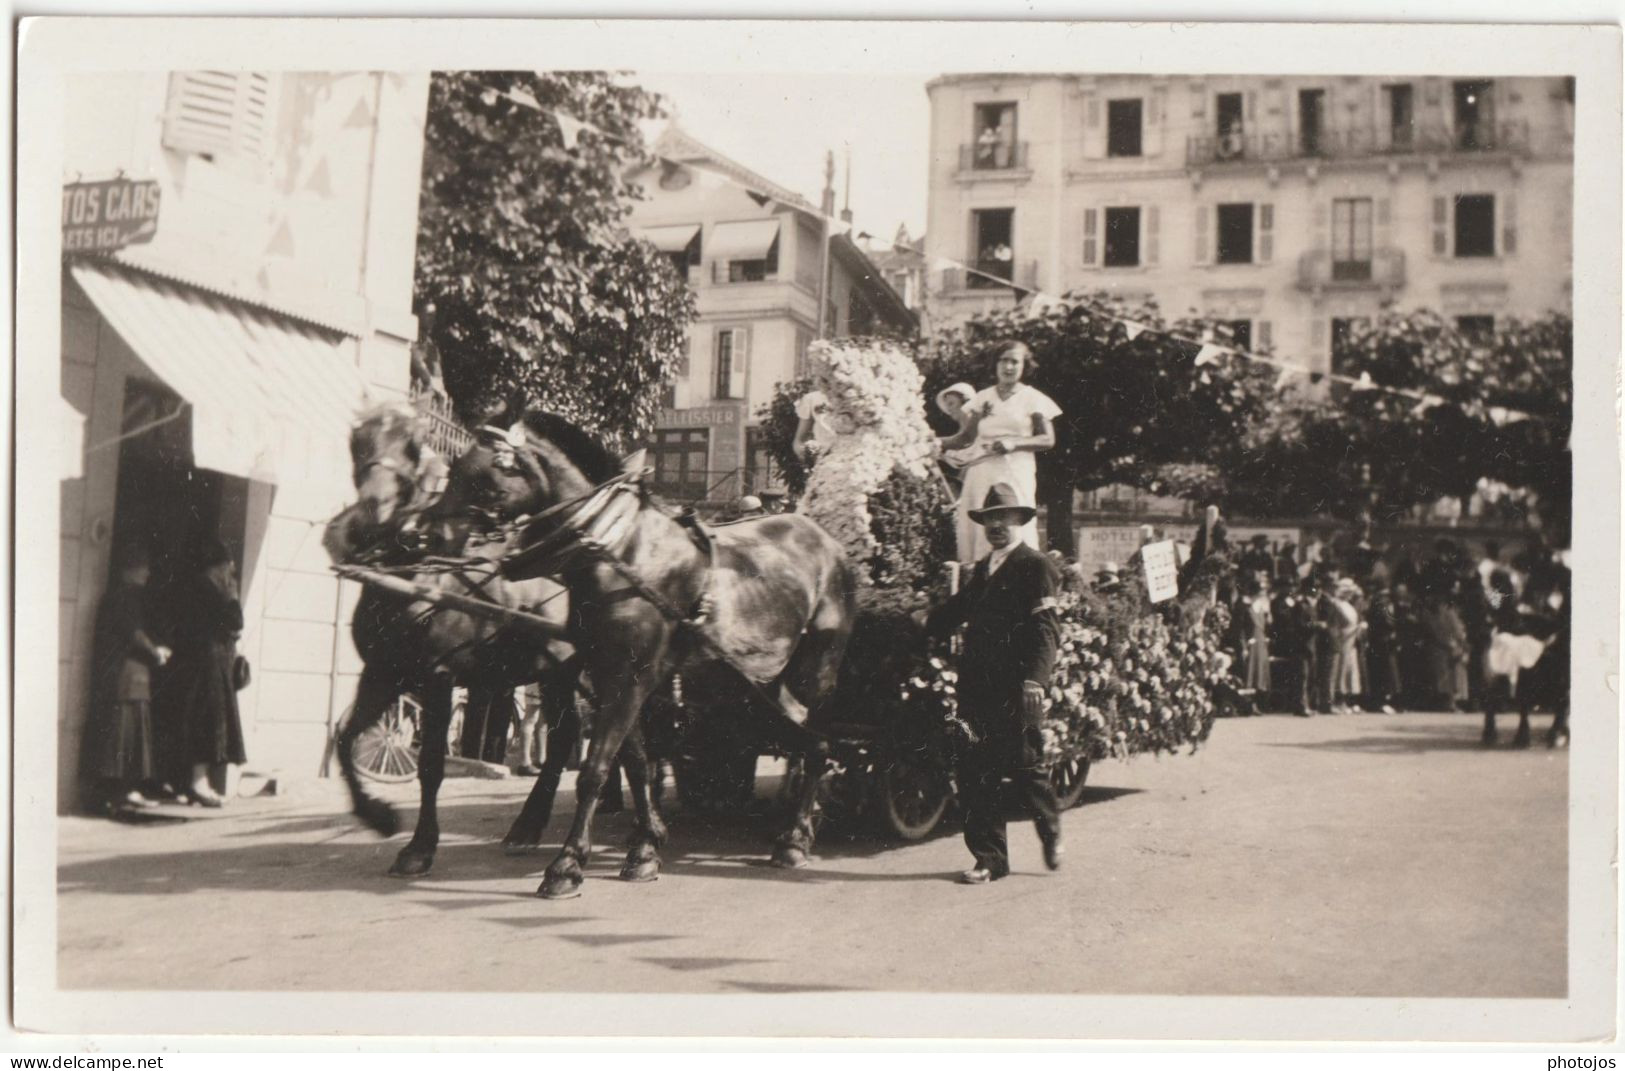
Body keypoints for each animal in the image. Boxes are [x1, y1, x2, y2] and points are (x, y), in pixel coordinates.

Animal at [438, 414, 858, 903]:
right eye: (456, 469)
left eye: (484, 477)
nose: (428, 537)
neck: (620, 551)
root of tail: (828, 541)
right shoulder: (610, 677)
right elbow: (636, 762)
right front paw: (644, 849)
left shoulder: (628, 677)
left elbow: (596, 769)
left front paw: (566, 866)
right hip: (758, 681)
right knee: (800, 740)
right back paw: (794, 825)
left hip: (818, 668)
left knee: (817, 745)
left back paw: (794, 837)